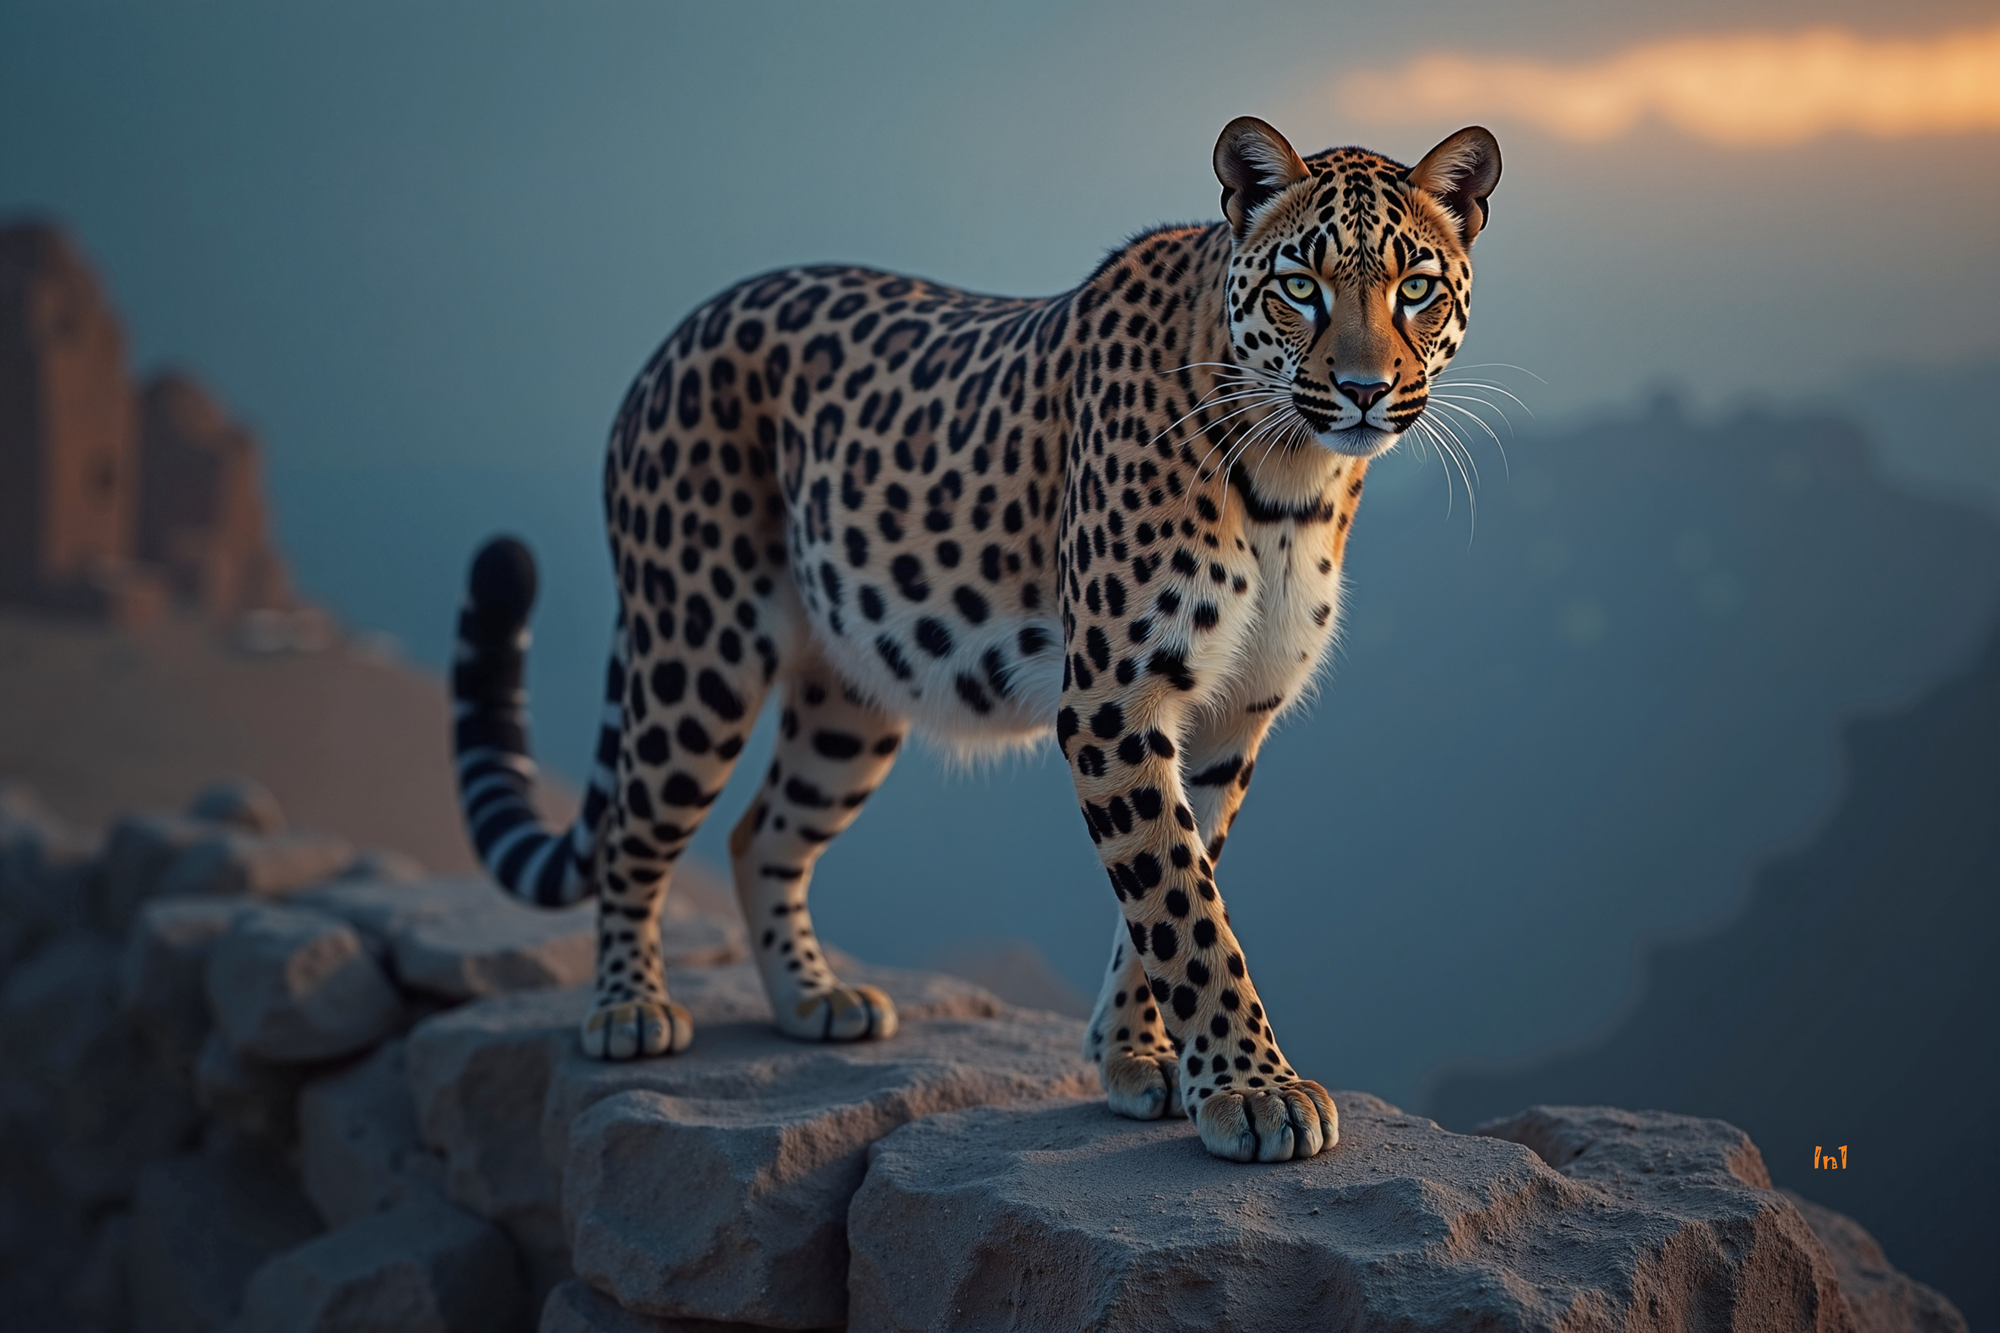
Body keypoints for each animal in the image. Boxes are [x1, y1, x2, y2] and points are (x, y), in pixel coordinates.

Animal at [450, 117, 1501, 1164]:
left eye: (1414, 287)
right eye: (1300, 285)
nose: (1364, 390)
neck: (1294, 480)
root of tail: (680, 329)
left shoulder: (1227, 718)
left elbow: (1164, 893)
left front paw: (1135, 1055)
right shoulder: (1113, 701)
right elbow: (1181, 906)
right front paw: (1253, 1088)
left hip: (852, 697)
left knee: (761, 832)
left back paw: (812, 998)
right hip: (694, 649)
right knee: (636, 828)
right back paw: (629, 1009)